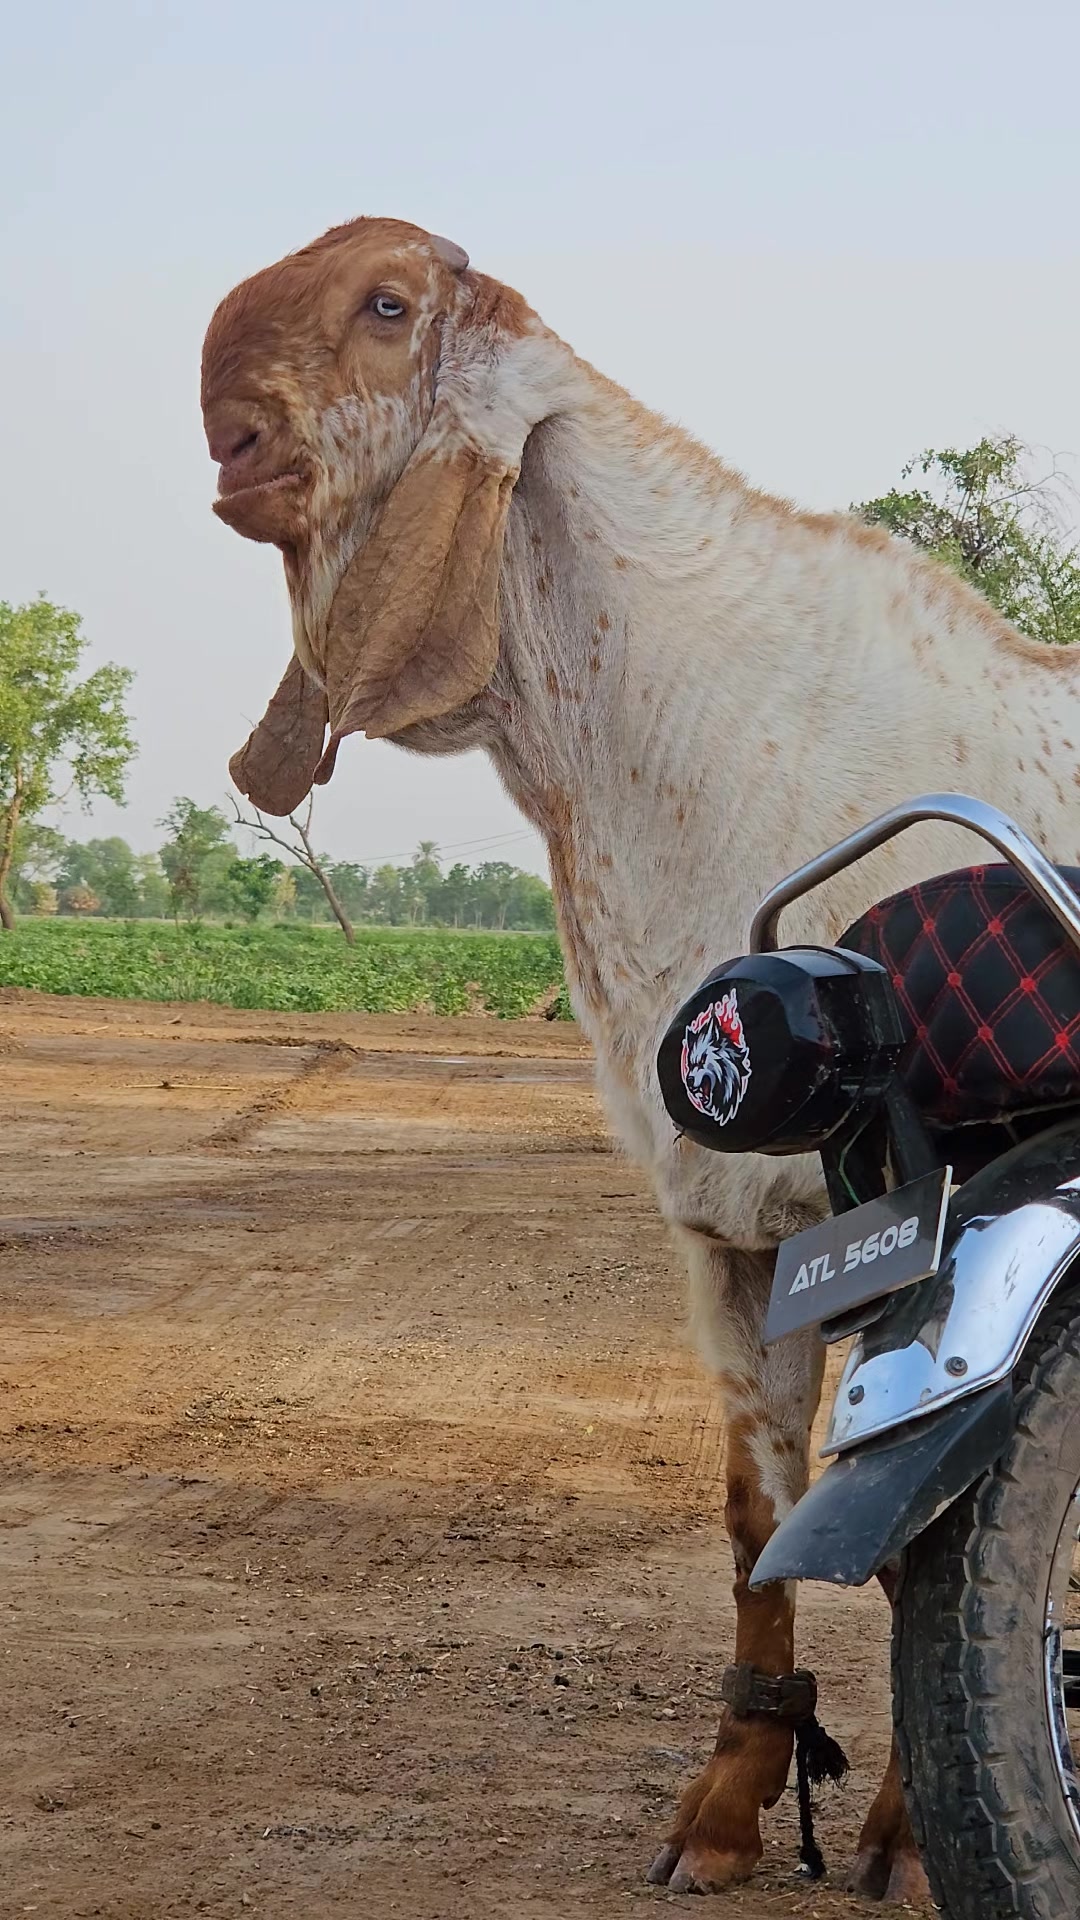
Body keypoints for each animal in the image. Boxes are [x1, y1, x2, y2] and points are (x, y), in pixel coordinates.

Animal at [201, 216, 1080, 1902]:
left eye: (387, 309)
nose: (229, 435)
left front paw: (905, 1840)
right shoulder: (739, 1233)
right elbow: (762, 1521)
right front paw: (731, 1809)